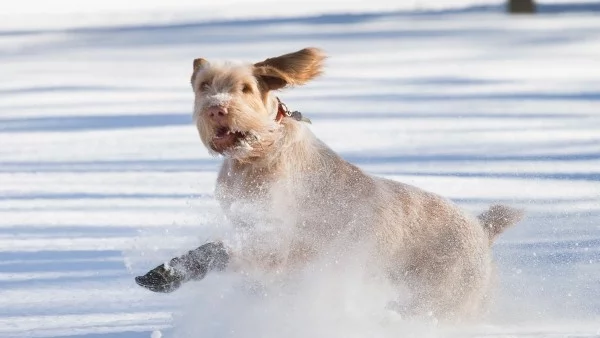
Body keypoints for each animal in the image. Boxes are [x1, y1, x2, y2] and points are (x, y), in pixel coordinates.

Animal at [134, 46, 524, 320]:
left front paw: (166, 274)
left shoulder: (279, 242)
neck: (259, 154)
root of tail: (482, 227)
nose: (217, 108)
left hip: (443, 296)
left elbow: (221, 251)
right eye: (204, 86)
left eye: (244, 88)